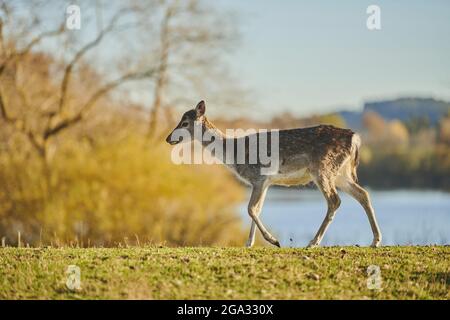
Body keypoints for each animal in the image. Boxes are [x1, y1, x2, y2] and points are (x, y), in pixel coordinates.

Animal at [166, 100, 384, 248]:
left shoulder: (258, 176)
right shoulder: (266, 182)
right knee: (363, 194)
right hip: (340, 173)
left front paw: (274, 240)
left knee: (335, 200)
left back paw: (313, 242)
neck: (234, 155)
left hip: (323, 168)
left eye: (185, 122)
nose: (168, 138)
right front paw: (249, 244)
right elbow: (257, 209)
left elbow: (250, 209)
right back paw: (375, 240)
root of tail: (355, 139)